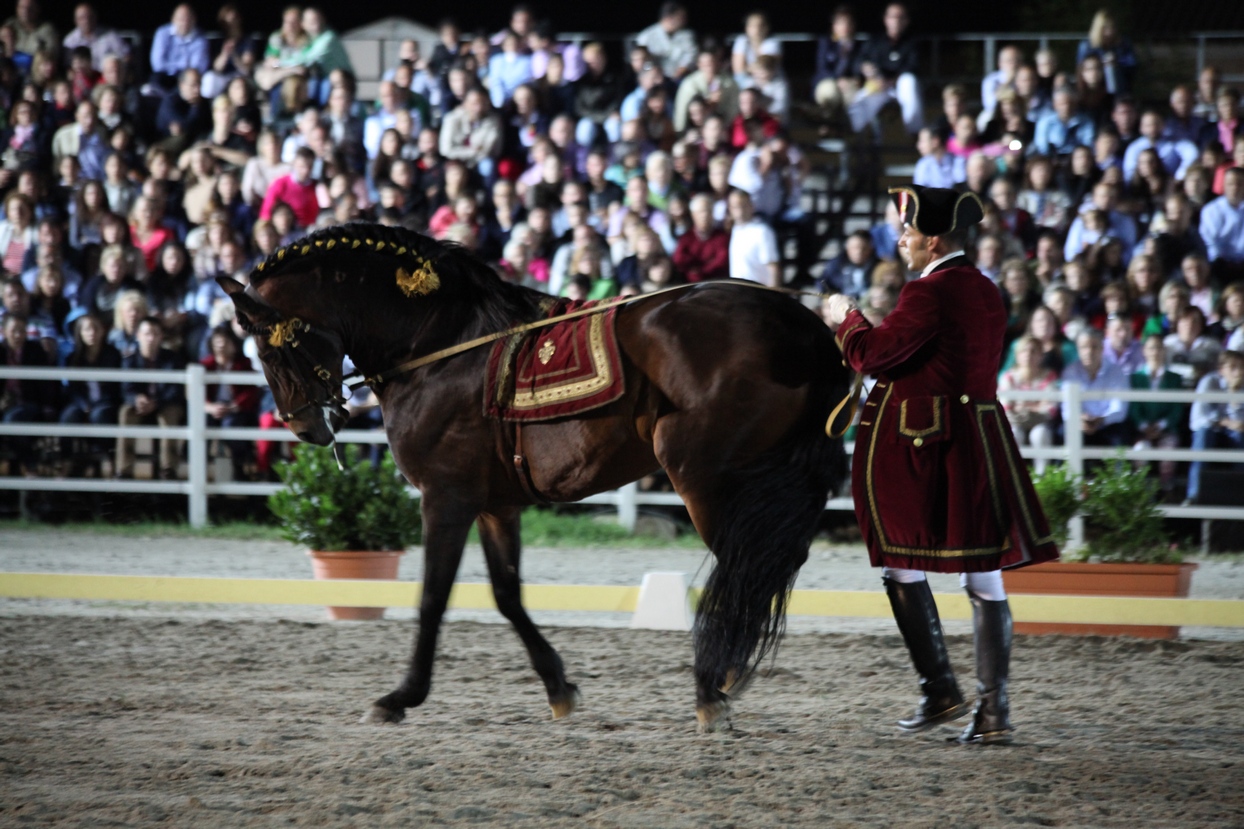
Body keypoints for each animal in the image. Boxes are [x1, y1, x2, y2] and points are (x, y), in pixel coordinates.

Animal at [218, 221, 850, 731]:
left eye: (268, 351)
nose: (305, 426)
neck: (444, 344)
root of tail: (804, 326)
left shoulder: (445, 497)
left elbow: (432, 599)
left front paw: (400, 697)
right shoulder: (495, 503)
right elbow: (506, 595)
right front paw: (558, 686)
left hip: (700, 473)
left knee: (745, 569)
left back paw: (711, 687)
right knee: (764, 568)